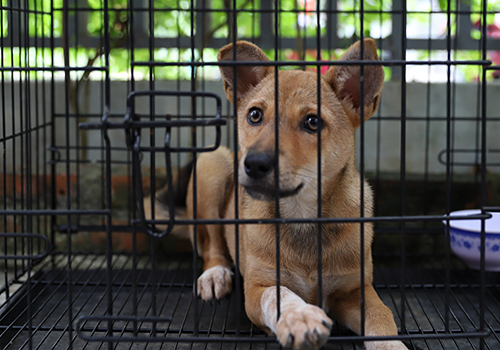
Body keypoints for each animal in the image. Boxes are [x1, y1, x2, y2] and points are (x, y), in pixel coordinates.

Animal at [147, 39, 406, 350]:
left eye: (313, 122)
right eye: (254, 115)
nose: (254, 164)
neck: (302, 215)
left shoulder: (356, 288)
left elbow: (382, 318)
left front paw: (393, 346)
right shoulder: (256, 289)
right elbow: (279, 294)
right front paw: (300, 316)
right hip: (212, 163)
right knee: (211, 245)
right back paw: (215, 275)